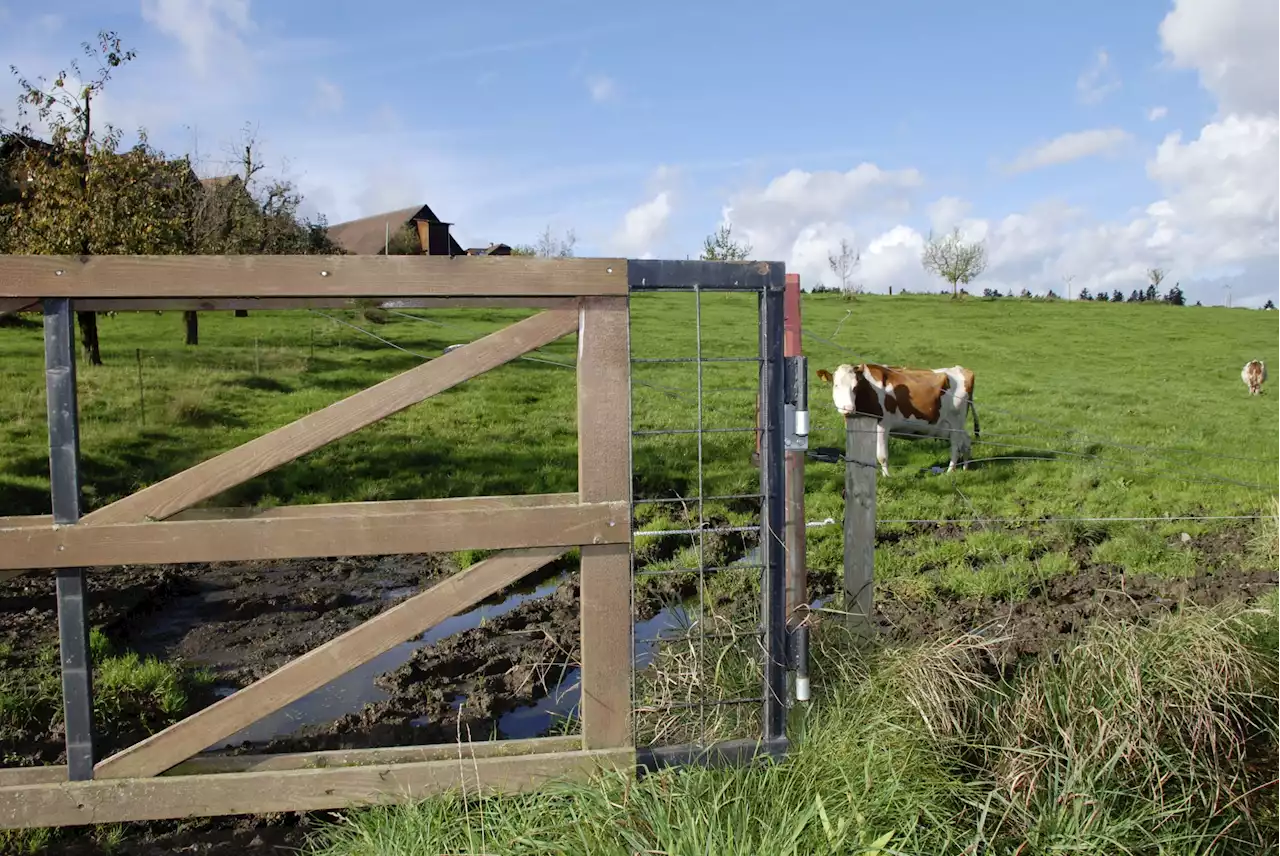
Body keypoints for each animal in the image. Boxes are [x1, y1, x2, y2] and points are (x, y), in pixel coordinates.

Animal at [814, 363, 983, 478]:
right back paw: (965, 467)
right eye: (836, 385)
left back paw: (950, 470)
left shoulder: (882, 425)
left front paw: (886, 476)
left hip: (955, 423)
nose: (848, 408)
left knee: (955, 446)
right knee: (966, 442)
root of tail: (962, 370)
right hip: (948, 426)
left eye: (855, 387)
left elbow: (881, 455)